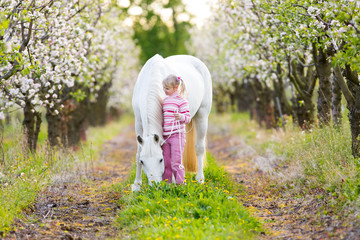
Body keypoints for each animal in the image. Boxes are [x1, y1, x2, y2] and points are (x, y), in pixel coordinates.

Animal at [131, 54, 211, 191]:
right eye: (142, 161)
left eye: (160, 160)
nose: (155, 186)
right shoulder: (138, 122)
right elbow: (138, 153)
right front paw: (137, 185)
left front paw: (172, 182)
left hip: (202, 115)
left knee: (199, 148)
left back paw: (200, 179)